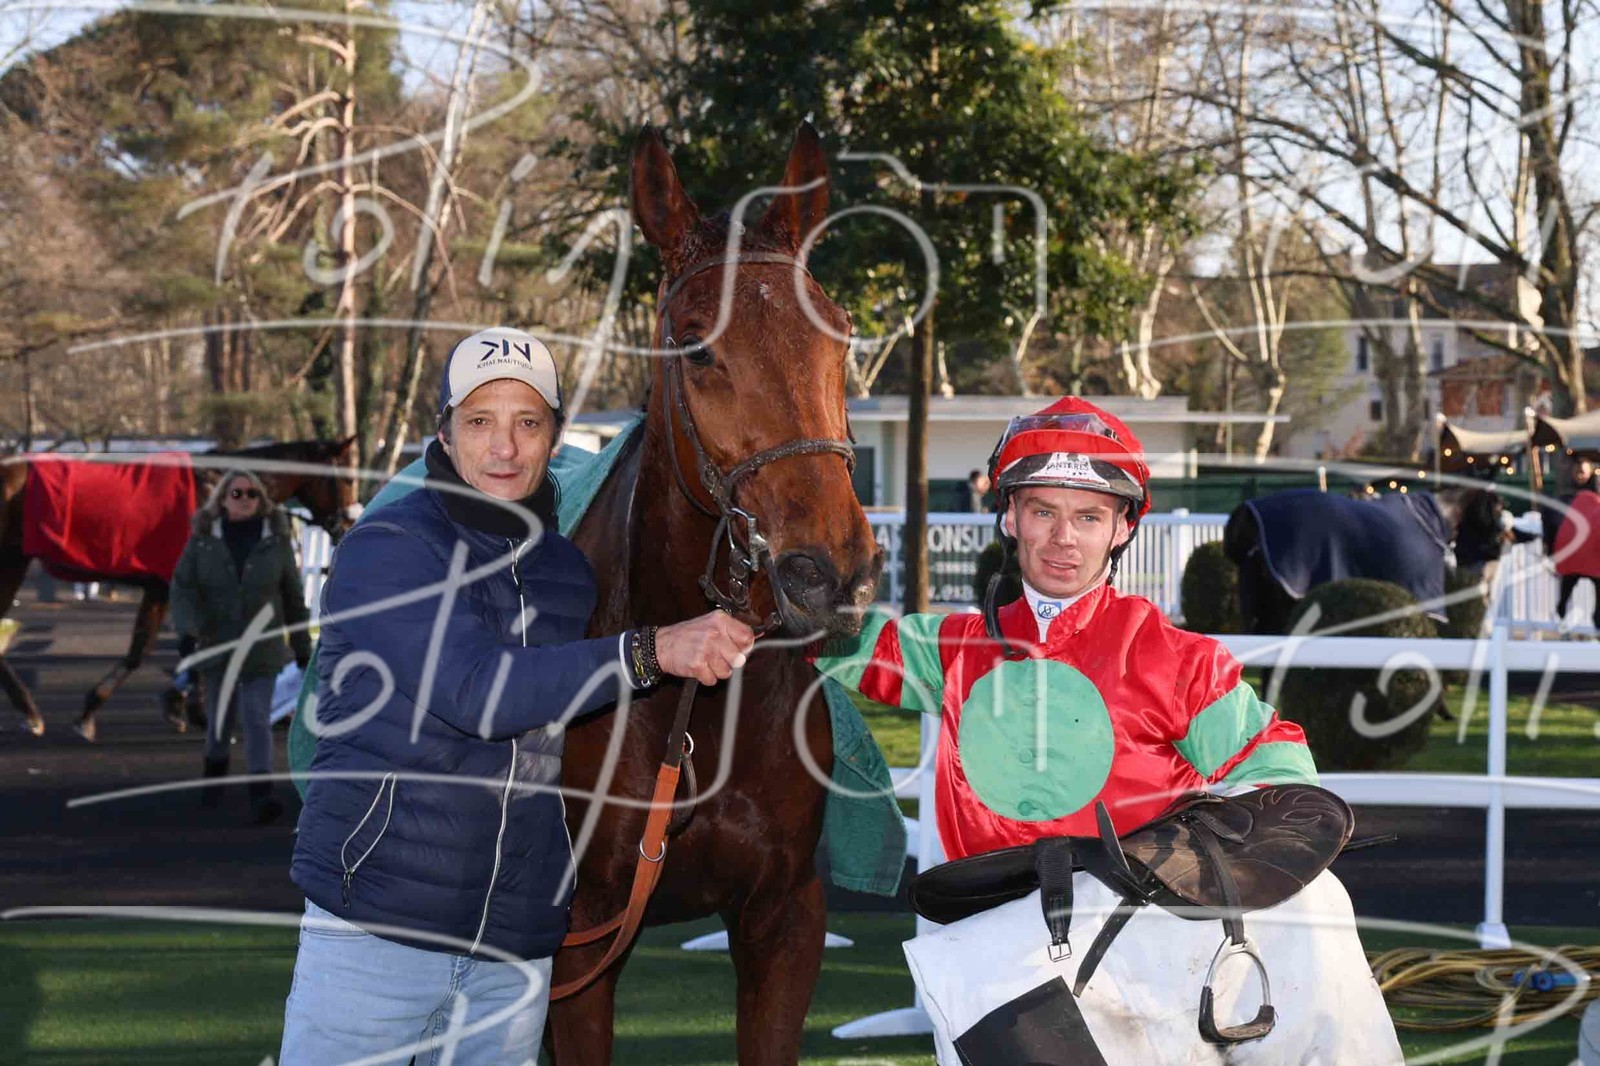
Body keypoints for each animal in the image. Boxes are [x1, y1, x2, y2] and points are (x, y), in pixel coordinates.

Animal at [0, 437, 360, 739]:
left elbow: (152, 648)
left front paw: (176, 705)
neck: (220, 490)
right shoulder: (178, 585)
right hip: (12, 562)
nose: (347, 526)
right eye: (347, 479)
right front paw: (197, 712)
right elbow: (176, 646)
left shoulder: (162, 589)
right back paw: (29, 711)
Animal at [547, 124, 883, 1065]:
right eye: (696, 346)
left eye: (842, 337)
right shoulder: (578, 943)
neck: (695, 711)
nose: (829, 571)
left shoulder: (784, 917)